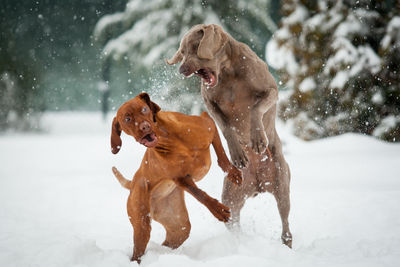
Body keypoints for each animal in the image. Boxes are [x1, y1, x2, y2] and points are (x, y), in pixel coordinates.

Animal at [110, 93, 241, 262]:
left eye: (144, 109)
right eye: (127, 119)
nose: (144, 127)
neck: (170, 138)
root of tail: (132, 184)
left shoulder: (208, 123)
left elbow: (222, 155)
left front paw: (232, 173)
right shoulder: (180, 178)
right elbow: (199, 194)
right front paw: (218, 210)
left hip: (178, 227)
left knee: (170, 240)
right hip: (142, 224)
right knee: (138, 250)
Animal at [167, 24, 292, 248]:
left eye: (195, 47)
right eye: (182, 52)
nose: (181, 70)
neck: (228, 73)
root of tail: (258, 184)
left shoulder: (271, 89)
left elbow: (256, 108)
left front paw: (257, 139)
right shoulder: (210, 104)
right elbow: (226, 127)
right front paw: (238, 154)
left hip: (281, 184)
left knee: (285, 222)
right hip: (231, 196)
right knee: (233, 220)